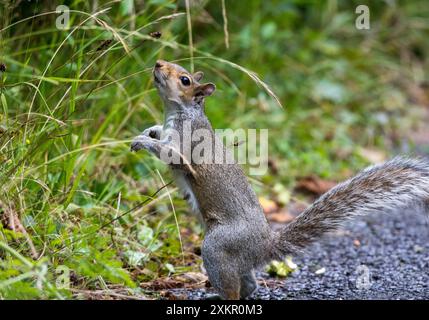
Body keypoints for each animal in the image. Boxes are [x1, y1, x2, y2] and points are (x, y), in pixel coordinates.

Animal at [130, 59, 428, 300]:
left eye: (185, 80)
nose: (158, 63)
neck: (178, 112)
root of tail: (263, 247)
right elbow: (159, 134)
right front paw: (150, 130)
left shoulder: (186, 143)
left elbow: (171, 154)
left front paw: (142, 141)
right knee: (249, 284)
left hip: (218, 247)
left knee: (232, 287)